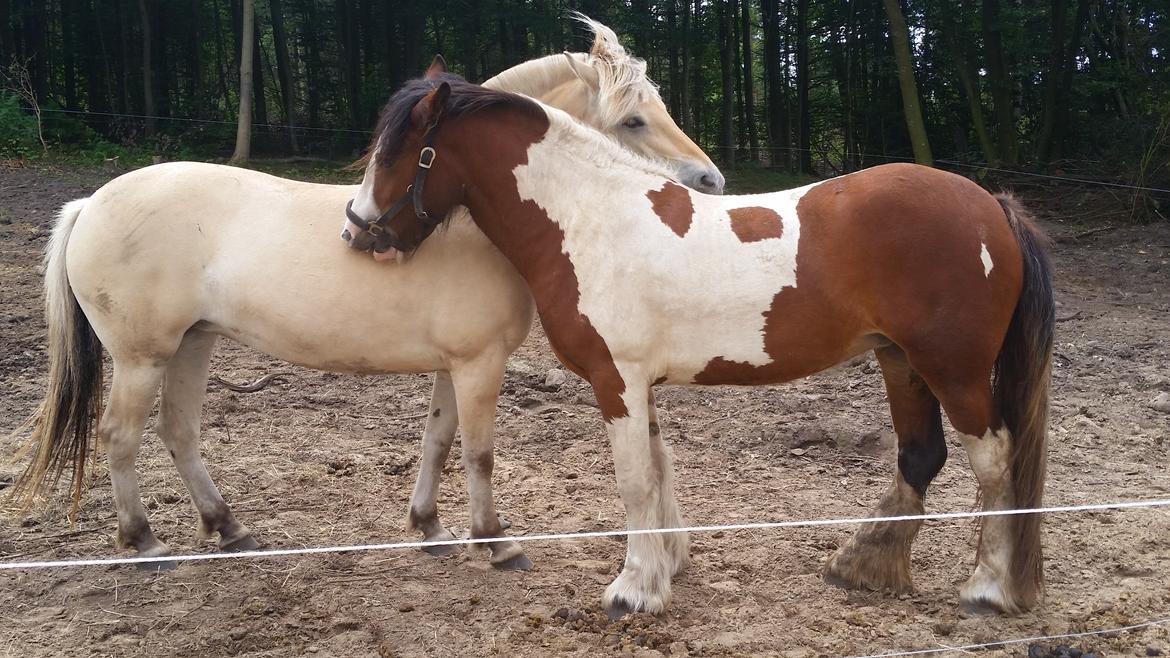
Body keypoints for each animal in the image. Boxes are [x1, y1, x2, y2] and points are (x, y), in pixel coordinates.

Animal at [341, 75, 1057, 613]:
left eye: (397, 153)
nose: (358, 231)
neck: (591, 219)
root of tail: (990, 206)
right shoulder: (639, 385)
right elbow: (658, 475)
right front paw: (660, 573)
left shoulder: (617, 381)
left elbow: (634, 482)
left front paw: (631, 590)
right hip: (900, 360)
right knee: (921, 455)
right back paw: (861, 564)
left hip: (954, 371)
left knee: (994, 463)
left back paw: (988, 589)